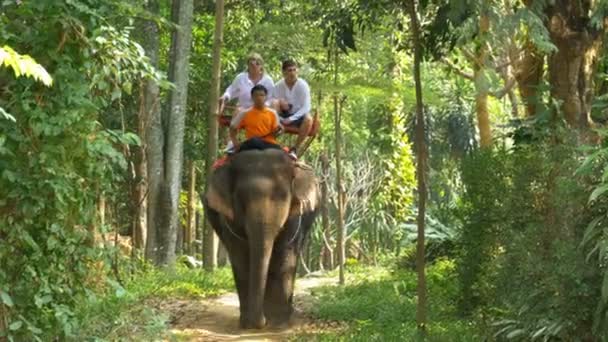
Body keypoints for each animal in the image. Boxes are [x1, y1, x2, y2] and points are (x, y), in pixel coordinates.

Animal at [203, 149, 320, 328]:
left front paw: (279, 324)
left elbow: (283, 254)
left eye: (283, 196)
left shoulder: (296, 214)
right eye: (240, 199)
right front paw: (247, 324)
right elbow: (241, 257)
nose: (261, 322)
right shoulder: (227, 217)